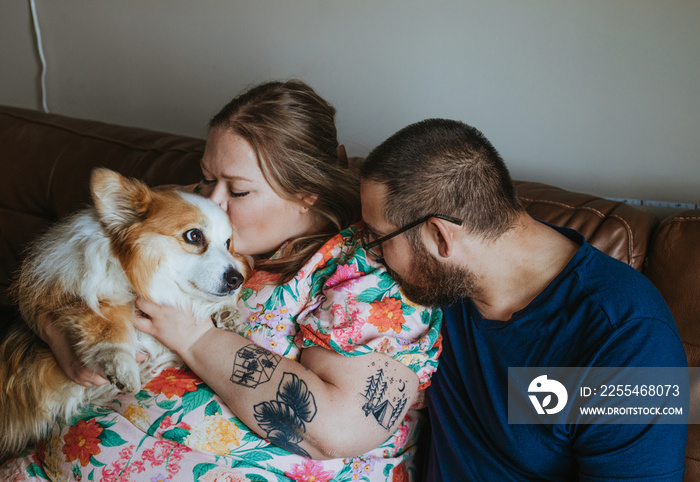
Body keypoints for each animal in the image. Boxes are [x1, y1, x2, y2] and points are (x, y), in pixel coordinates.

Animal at [0, 169, 252, 460]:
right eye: (194, 236)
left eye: (228, 243)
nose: (237, 279)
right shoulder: (79, 297)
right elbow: (108, 327)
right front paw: (123, 367)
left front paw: (226, 310)